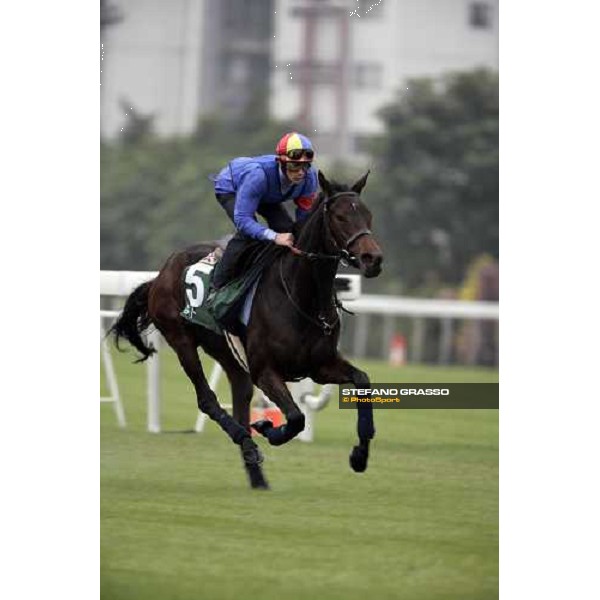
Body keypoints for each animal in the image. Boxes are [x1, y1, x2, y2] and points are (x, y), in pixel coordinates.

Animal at [111, 171, 384, 490]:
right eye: (340, 217)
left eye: (368, 214)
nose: (373, 258)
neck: (301, 295)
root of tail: (160, 275)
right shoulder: (265, 370)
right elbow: (295, 417)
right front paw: (267, 427)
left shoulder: (320, 365)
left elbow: (362, 380)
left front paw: (360, 455)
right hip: (181, 339)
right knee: (207, 399)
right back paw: (245, 439)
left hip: (230, 357)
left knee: (239, 399)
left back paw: (257, 475)